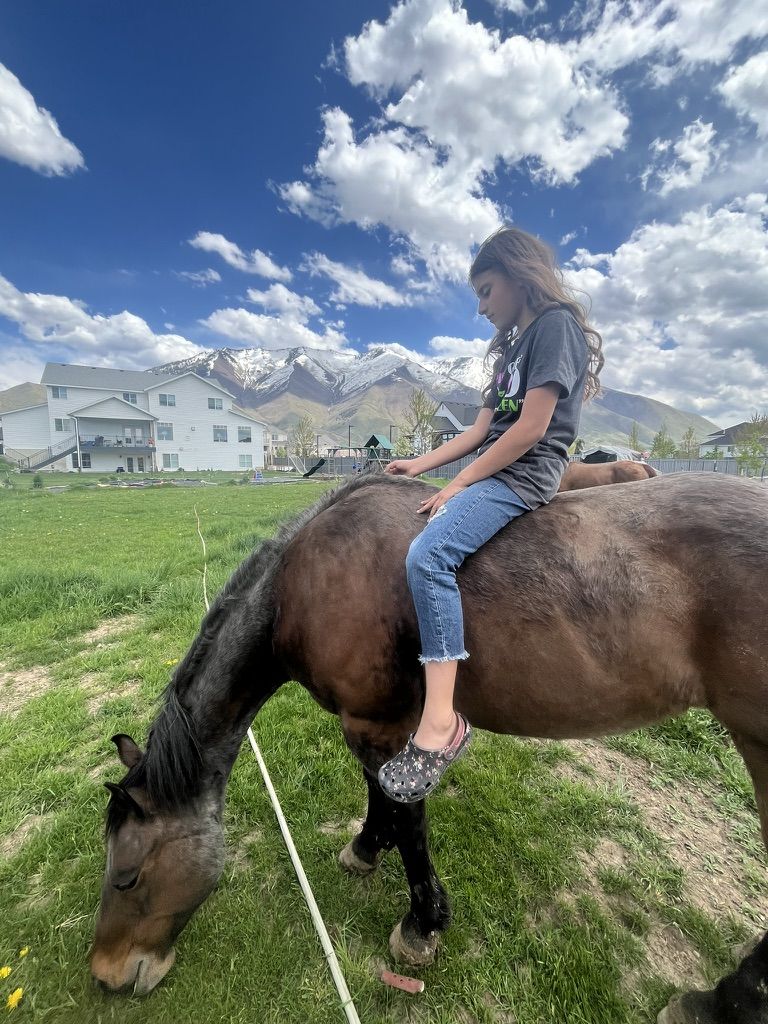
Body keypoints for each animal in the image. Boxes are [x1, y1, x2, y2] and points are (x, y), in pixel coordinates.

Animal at [91, 473, 768, 1024]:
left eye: (126, 877)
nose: (105, 975)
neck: (302, 584)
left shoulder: (376, 723)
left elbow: (407, 815)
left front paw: (421, 923)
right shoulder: (378, 722)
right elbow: (381, 795)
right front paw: (367, 847)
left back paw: (719, 1003)